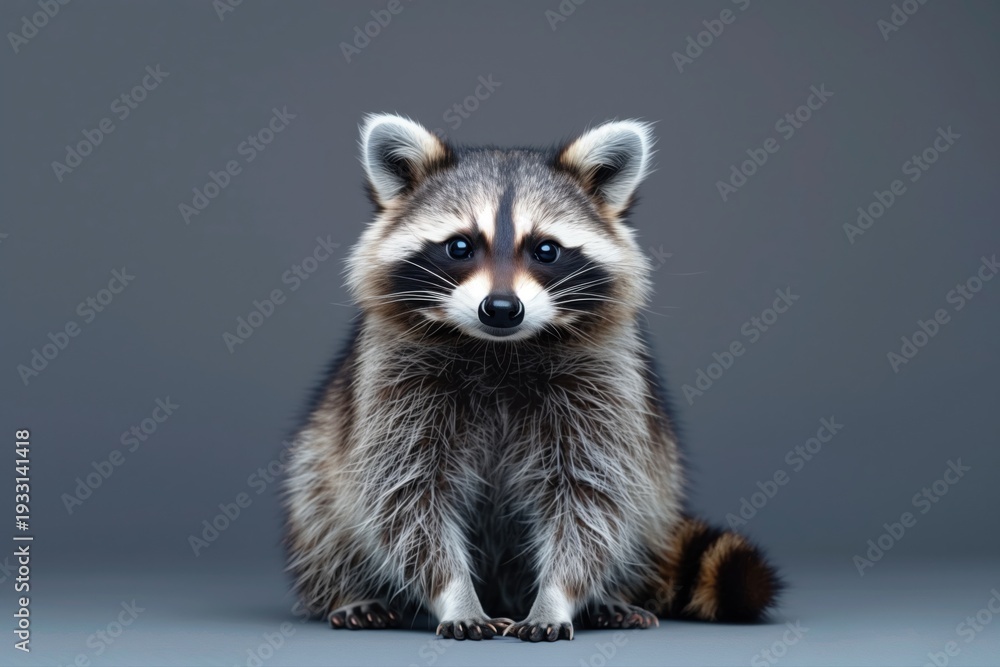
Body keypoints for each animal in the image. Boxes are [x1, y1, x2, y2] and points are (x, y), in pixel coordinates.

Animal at [283, 114, 780, 642]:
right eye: (459, 246)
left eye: (546, 250)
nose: (501, 308)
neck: (500, 350)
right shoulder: (394, 384)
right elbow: (405, 496)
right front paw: (456, 594)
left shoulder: (603, 384)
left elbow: (592, 498)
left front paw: (557, 597)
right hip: (319, 455)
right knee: (319, 504)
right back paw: (349, 590)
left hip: (659, 482)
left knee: (641, 507)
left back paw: (608, 596)